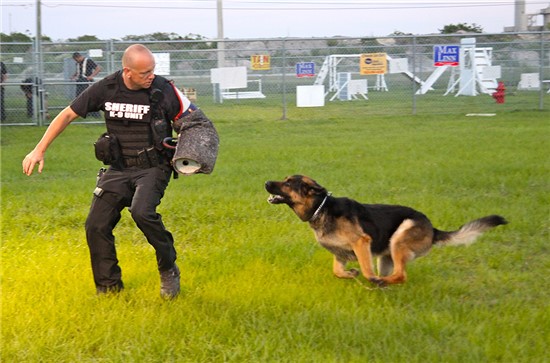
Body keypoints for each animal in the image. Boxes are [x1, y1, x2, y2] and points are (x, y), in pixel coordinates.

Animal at [266, 176, 508, 288]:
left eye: (289, 183)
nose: (266, 182)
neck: (321, 208)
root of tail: (432, 227)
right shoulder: (340, 254)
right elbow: (338, 271)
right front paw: (350, 274)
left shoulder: (362, 243)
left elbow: (366, 269)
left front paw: (366, 276)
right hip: (387, 256)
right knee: (396, 274)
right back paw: (384, 283)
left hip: (400, 237)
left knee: (401, 275)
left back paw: (380, 282)